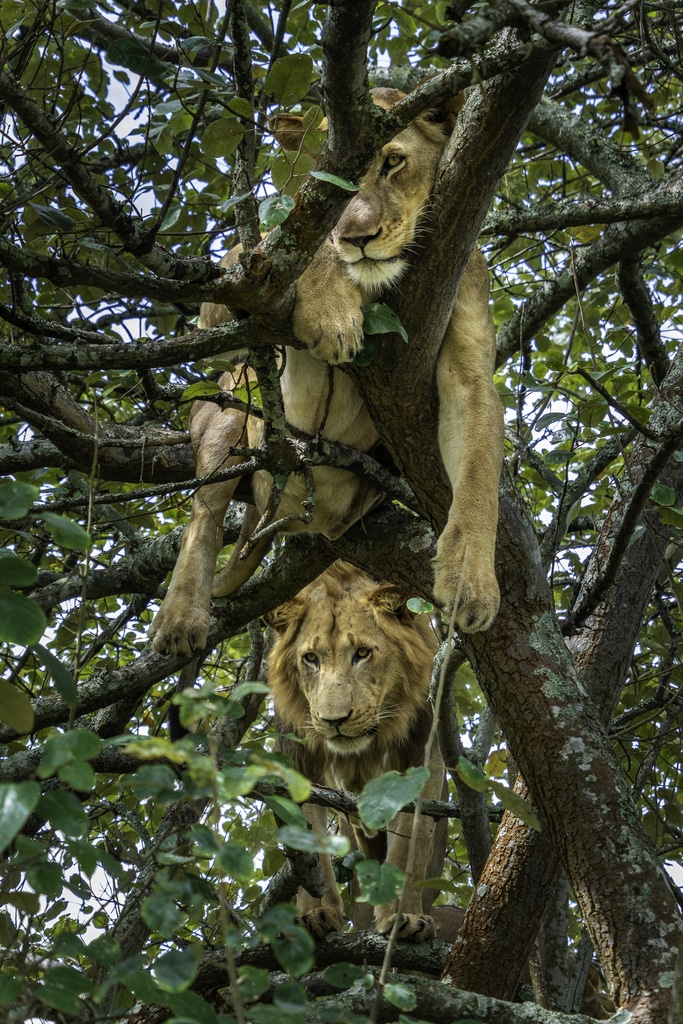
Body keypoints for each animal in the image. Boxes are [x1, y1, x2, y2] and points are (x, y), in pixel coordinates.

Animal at [149, 86, 501, 655]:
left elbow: (478, 475)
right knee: (204, 512)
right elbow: (295, 245)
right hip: (228, 406)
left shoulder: (469, 363)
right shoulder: (230, 291)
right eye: (330, 184)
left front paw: (472, 583)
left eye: (392, 162)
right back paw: (180, 618)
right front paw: (331, 309)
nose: (359, 236)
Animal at [264, 561, 446, 942]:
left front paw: (406, 918)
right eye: (311, 659)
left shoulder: (424, 754)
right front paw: (315, 915)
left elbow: (411, 845)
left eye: (362, 653)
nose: (333, 721)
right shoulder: (298, 763)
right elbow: (308, 845)